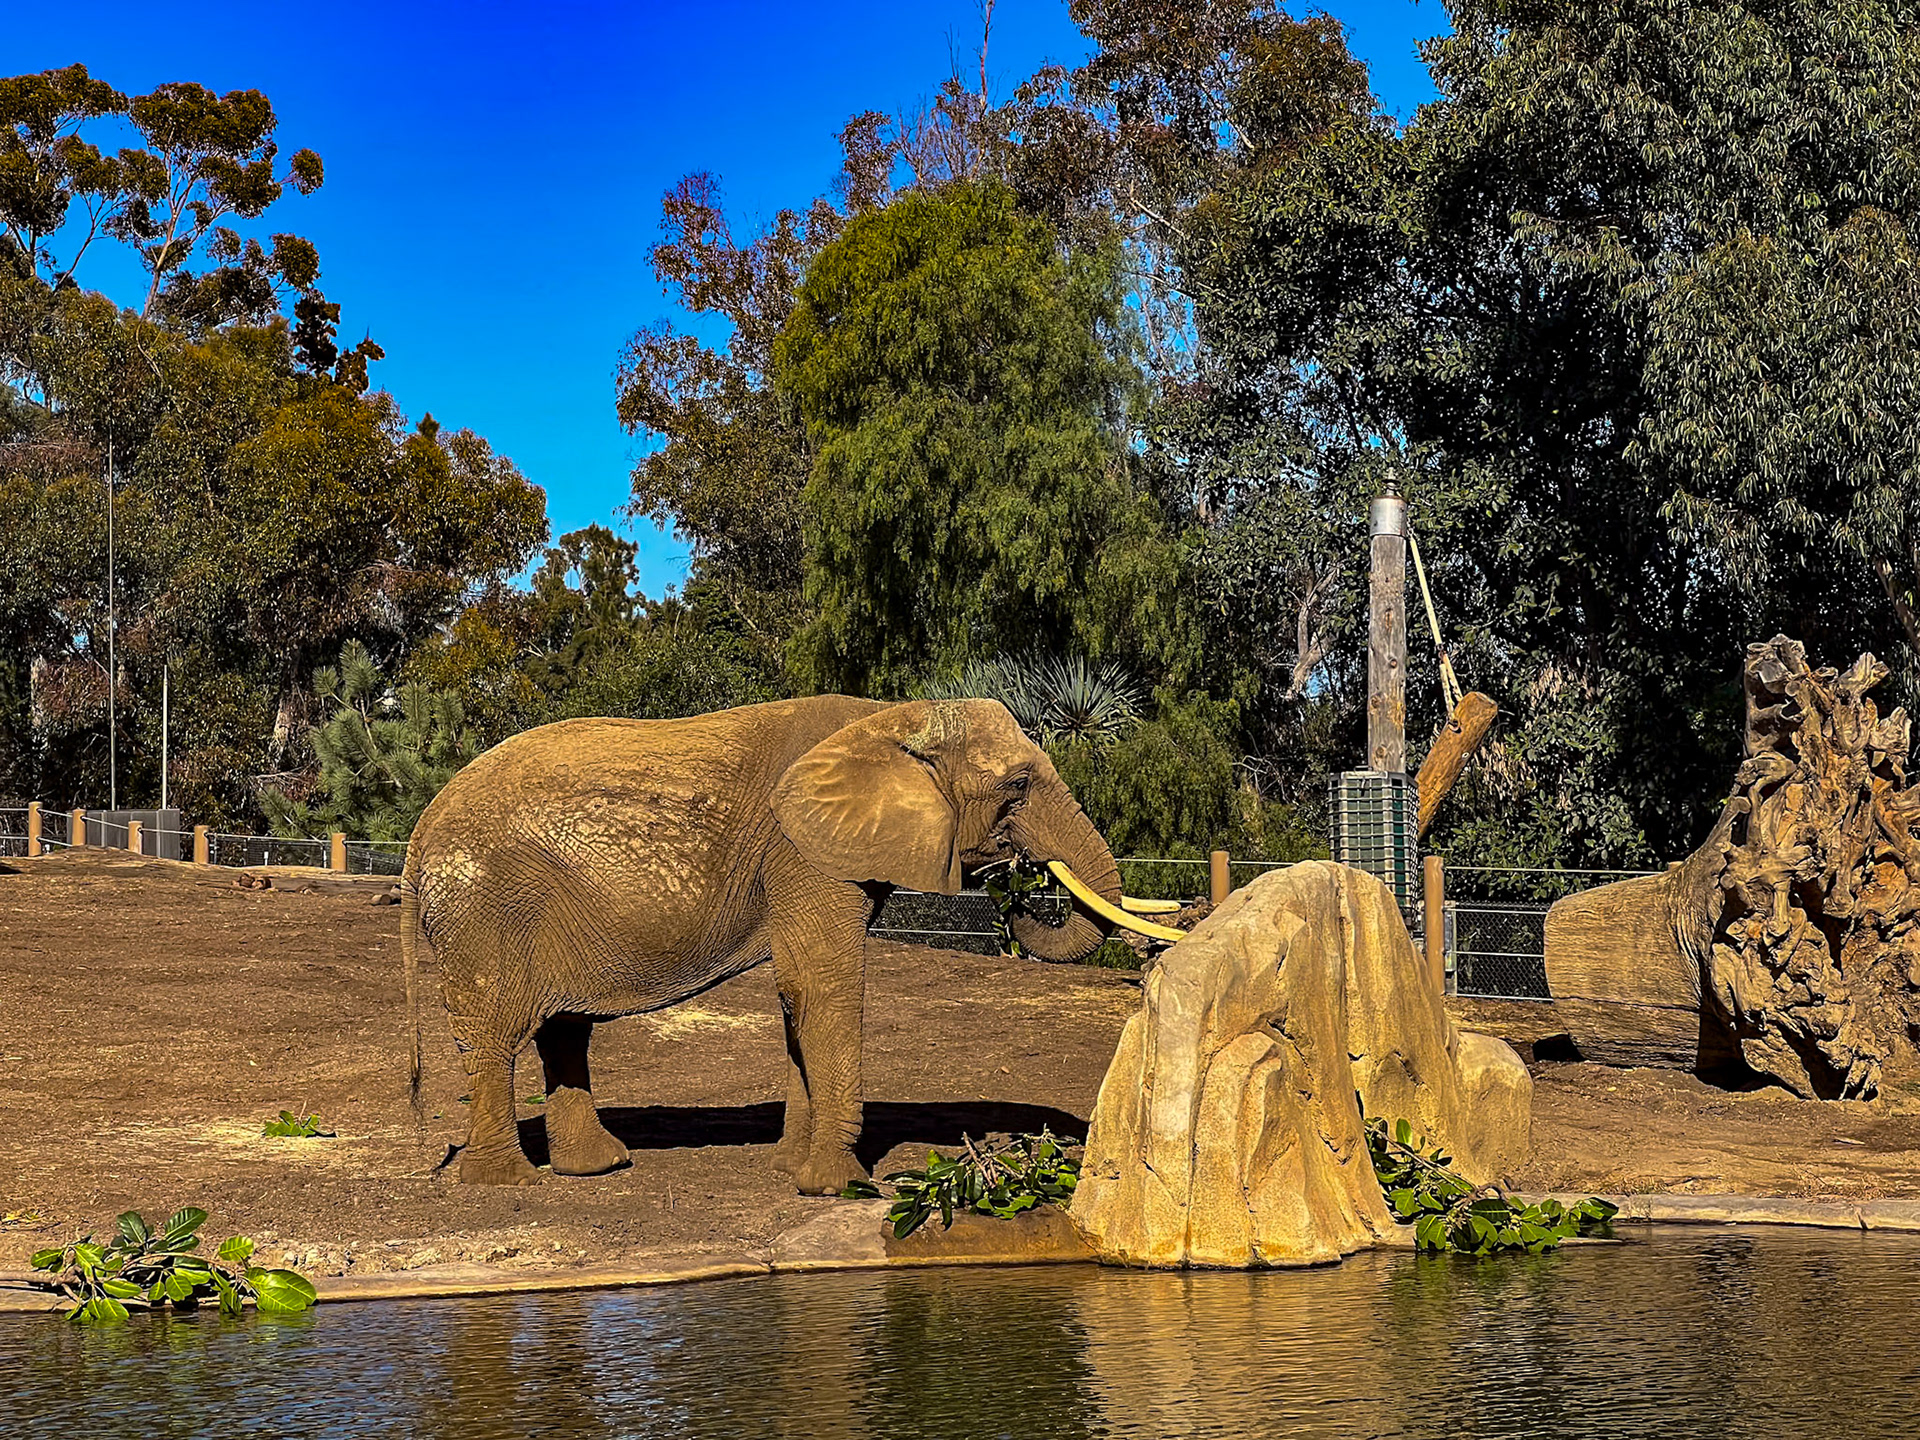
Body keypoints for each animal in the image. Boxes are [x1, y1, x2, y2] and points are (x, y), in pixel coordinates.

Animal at [400, 694, 1132, 1192]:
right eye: (1019, 786)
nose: (1018, 881)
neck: (891, 716)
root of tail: (420, 831)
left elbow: (795, 993)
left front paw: (789, 1168)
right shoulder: (801, 851)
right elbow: (820, 984)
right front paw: (836, 1186)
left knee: (563, 1030)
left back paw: (597, 1168)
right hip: (483, 908)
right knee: (496, 1034)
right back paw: (508, 1182)